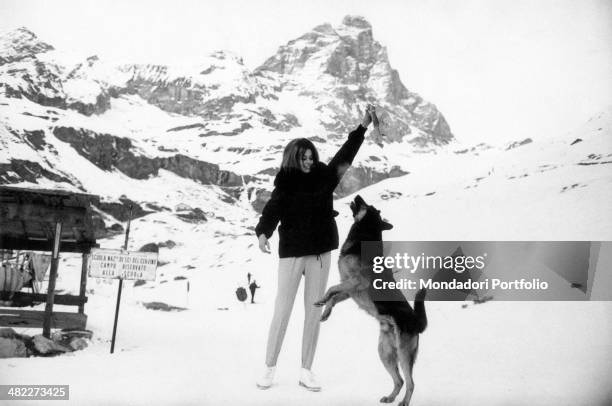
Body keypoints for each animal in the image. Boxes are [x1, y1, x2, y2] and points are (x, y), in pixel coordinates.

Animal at [314, 195, 428, 404]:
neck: (363, 236)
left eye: (369, 206)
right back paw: (390, 397)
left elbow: (331, 289)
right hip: (385, 353)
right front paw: (325, 310)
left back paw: (404, 402)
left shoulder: (355, 282)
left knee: (410, 383)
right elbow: (334, 297)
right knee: (399, 380)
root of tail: (417, 322)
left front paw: (322, 299)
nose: (358, 196)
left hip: (403, 354)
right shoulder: (349, 289)